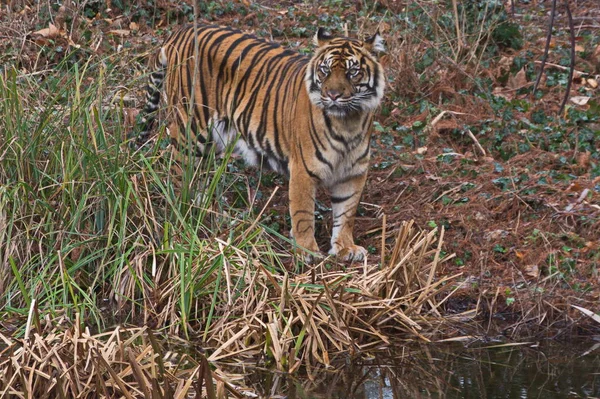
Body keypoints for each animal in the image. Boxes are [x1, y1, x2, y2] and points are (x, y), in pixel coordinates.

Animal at [138, 24, 386, 262]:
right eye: (325, 70)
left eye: (352, 72)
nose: (332, 95)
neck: (348, 122)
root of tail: (182, 30)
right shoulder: (303, 170)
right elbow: (303, 213)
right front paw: (307, 251)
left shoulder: (353, 173)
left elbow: (346, 213)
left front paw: (345, 248)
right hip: (190, 130)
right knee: (176, 169)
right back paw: (182, 209)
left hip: (210, 143)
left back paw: (207, 210)